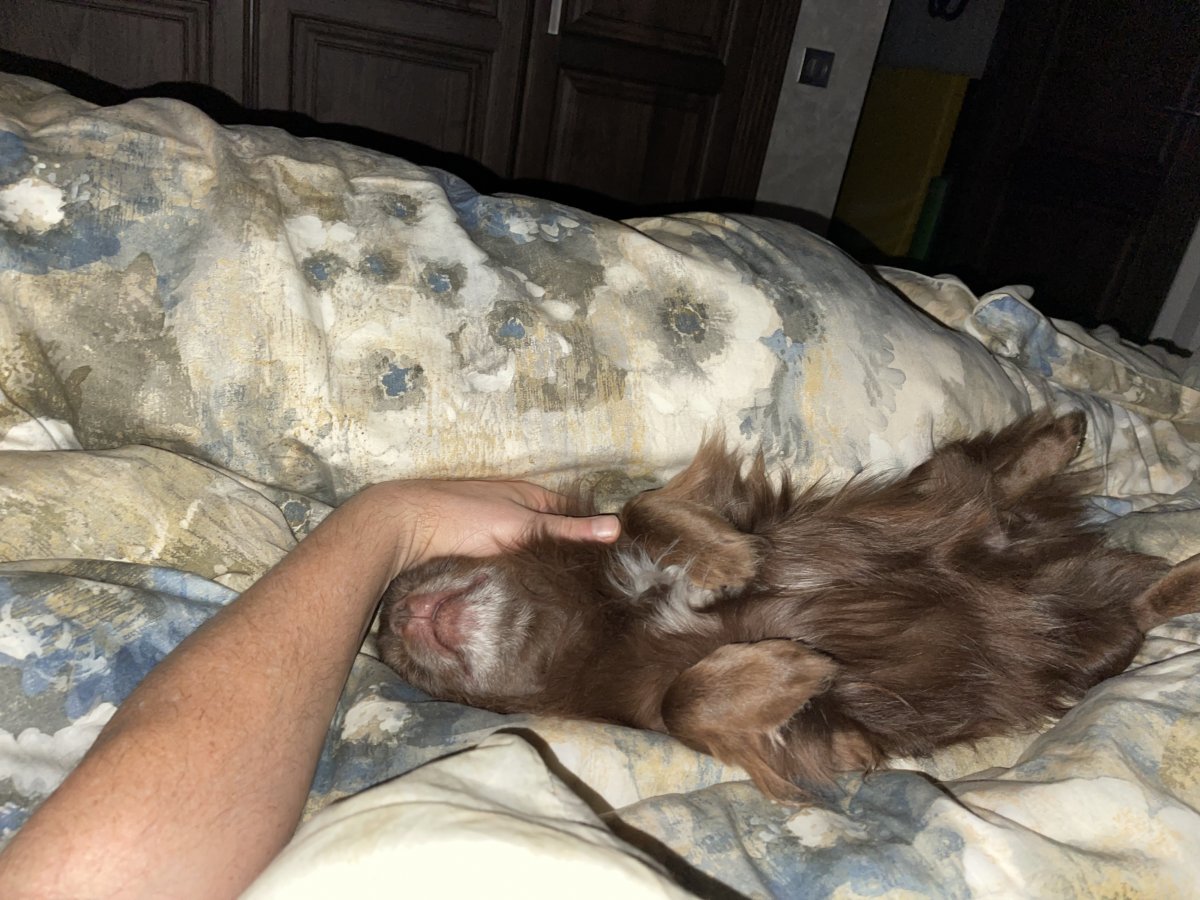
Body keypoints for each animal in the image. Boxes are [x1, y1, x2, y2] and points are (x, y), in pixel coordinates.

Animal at [378, 412, 1200, 801]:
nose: (388, 614)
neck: (602, 626)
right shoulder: (824, 738)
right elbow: (684, 703)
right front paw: (786, 668)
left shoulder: (726, 510)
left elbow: (643, 508)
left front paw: (724, 565)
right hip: (1092, 649)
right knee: (1139, 605)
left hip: (954, 505)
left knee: (974, 474)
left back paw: (1058, 439)